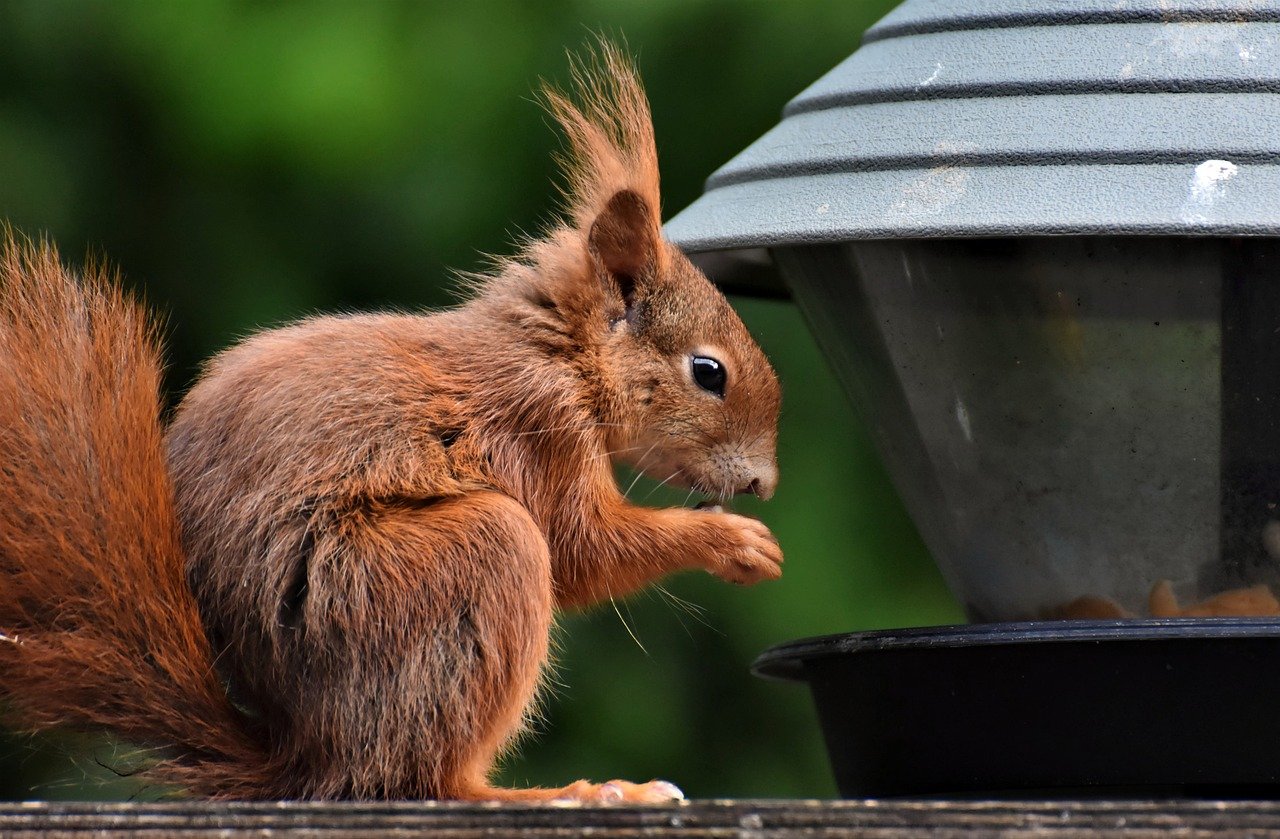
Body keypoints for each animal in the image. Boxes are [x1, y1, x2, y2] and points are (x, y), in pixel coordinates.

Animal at [0, 44, 778, 799]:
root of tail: (308, 753)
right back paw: (565, 793)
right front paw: (731, 541)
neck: (560, 354)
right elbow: (584, 548)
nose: (764, 484)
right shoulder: (536, 427)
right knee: (427, 779)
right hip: (447, 570)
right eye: (709, 372)